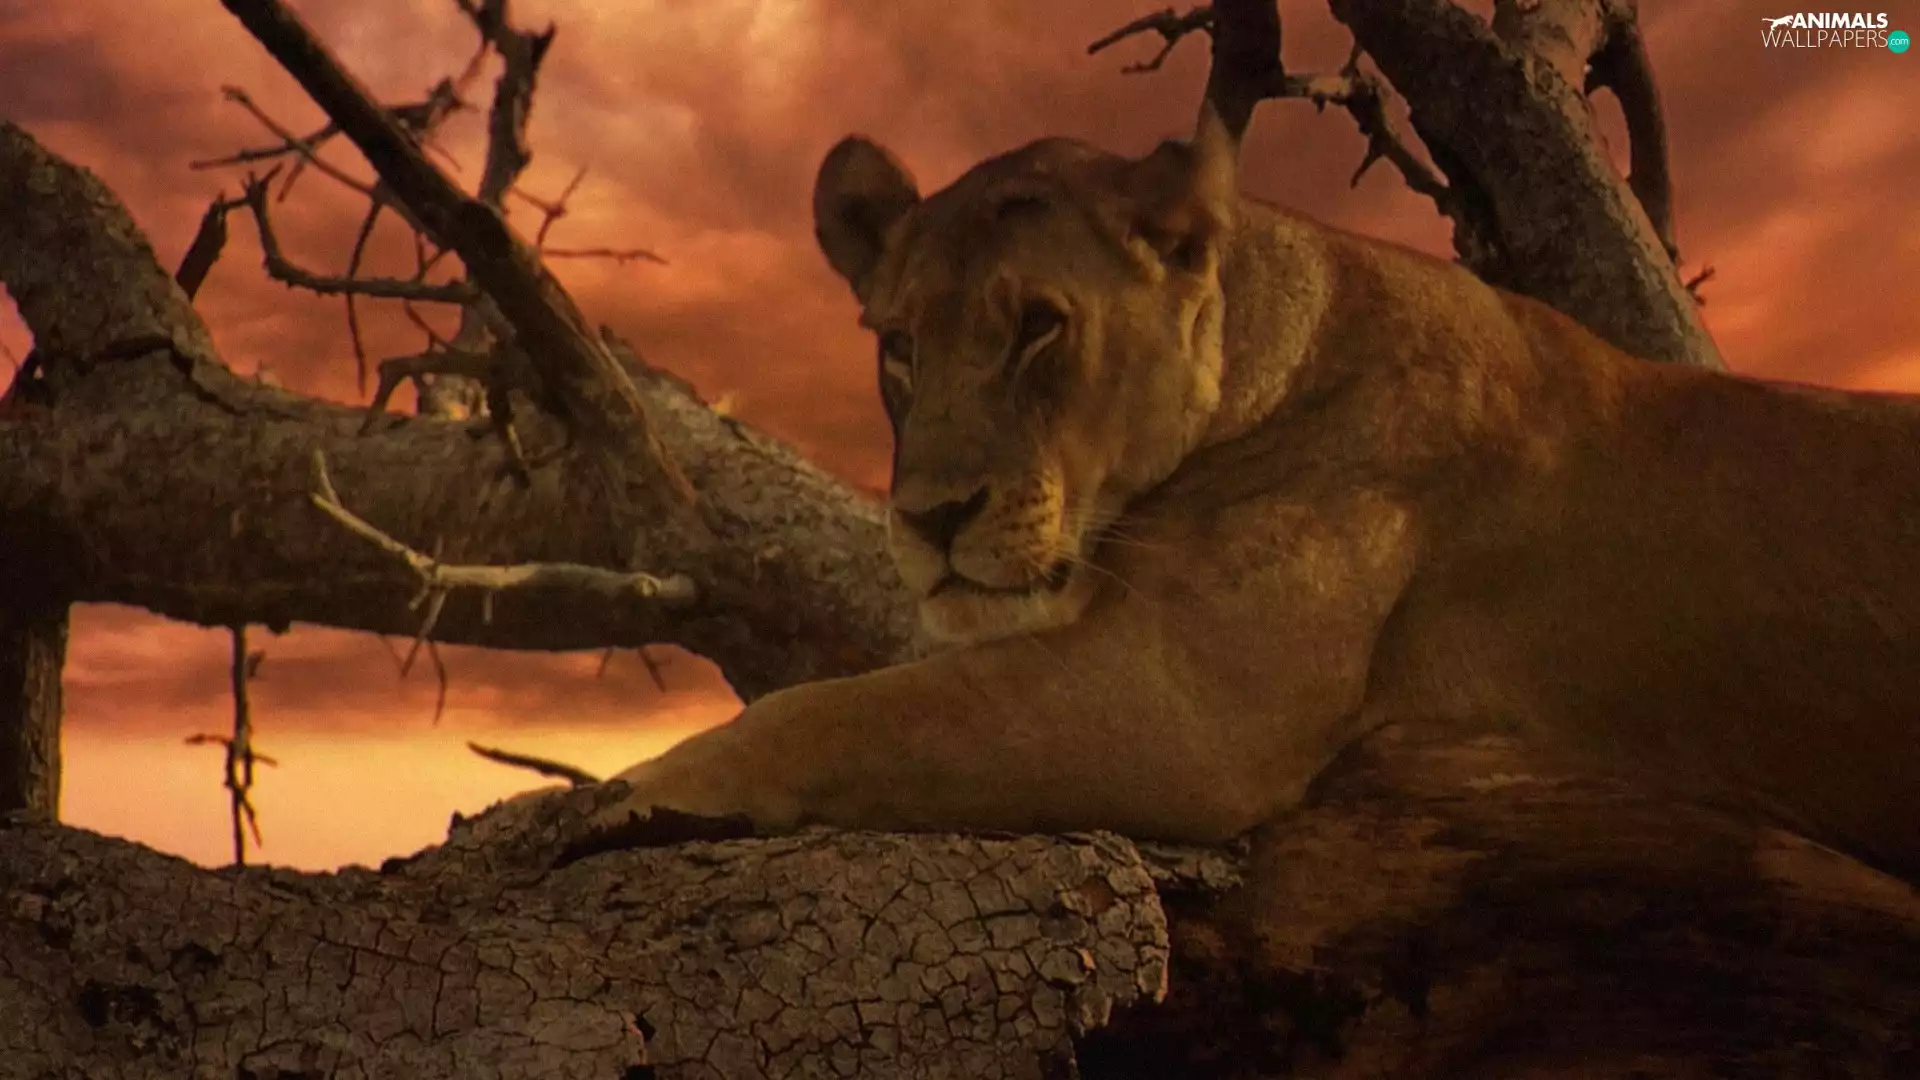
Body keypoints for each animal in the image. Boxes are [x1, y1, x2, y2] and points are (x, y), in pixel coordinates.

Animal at [589, 106, 1920, 882]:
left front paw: (633, 795)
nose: (929, 519)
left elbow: (862, 710)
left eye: (1039, 328)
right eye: (900, 346)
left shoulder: (1193, 705)